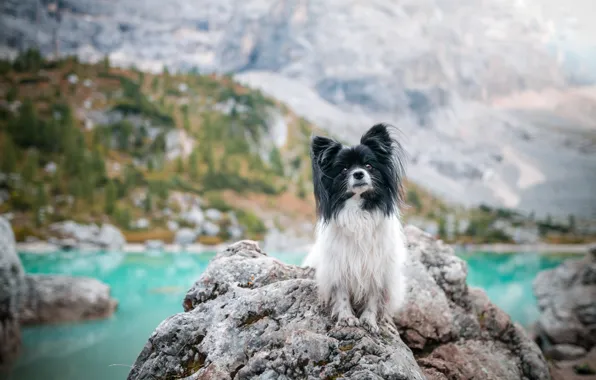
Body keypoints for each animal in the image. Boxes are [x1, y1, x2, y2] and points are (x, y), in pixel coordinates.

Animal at [304, 124, 408, 332]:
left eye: (368, 166)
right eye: (344, 169)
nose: (358, 173)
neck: (359, 211)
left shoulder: (377, 267)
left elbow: (373, 298)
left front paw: (369, 320)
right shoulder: (340, 263)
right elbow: (342, 294)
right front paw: (346, 318)